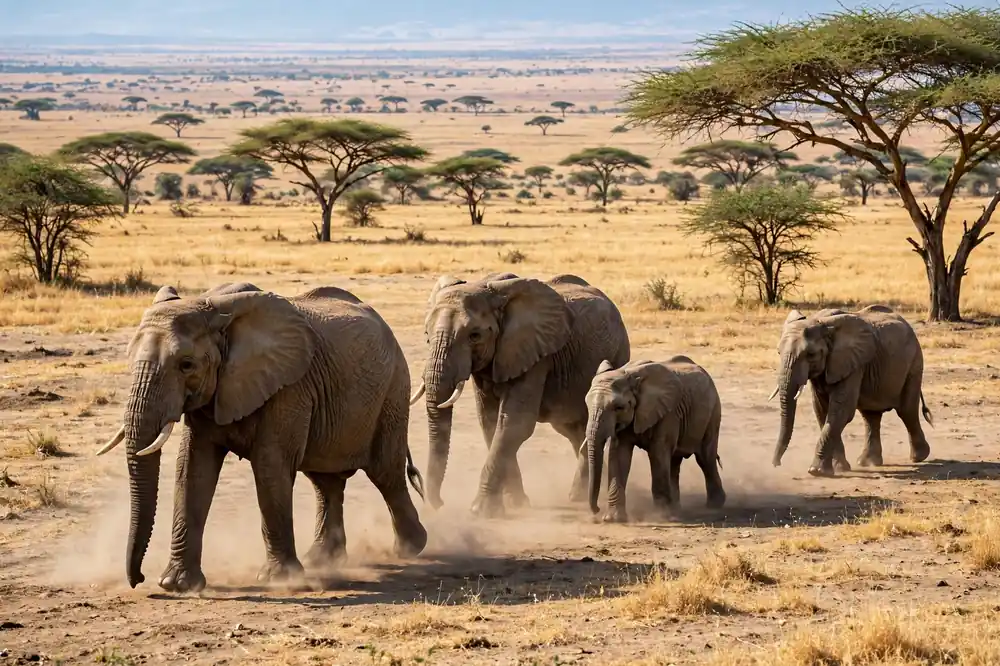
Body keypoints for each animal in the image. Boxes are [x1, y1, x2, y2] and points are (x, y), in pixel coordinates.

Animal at [95, 281, 427, 593]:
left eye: (186, 365)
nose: (137, 578)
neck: (216, 311)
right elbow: (192, 470)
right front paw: (176, 585)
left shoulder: (289, 387)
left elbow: (270, 467)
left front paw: (279, 580)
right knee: (325, 481)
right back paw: (322, 561)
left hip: (393, 389)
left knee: (385, 473)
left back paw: (412, 548)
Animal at [409, 272, 630, 517]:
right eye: (427, 335)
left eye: (474, 336)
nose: (439, 504)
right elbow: (490, 422)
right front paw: (516, 504)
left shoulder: (535, 355)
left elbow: (514, 424)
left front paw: (481, 510)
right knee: (573, 429)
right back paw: (579, 495)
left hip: (619, 353)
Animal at [584, 357, 725, 523]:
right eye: (586, 405)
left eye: (619, 407)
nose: (596, 510)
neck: (629, 375)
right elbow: (618, 455)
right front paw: (613, 519)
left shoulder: (667, 412)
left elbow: (658, 454)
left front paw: (663, 517)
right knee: (674, 462)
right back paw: (677, 509)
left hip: (713, 412)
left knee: (705, 458)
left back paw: (713, 506)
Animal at [769, 304, 933, 477]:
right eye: (778, 352)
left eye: (811, 354)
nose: (776, 464)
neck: (821, 323)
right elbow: (822, 411)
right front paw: (840, 468)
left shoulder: (852, 364)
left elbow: (841, 411)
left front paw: (816, 471)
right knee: (870, 415)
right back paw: (868, 462)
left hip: (914, 363)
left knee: (906, 411)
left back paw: (919, 457)